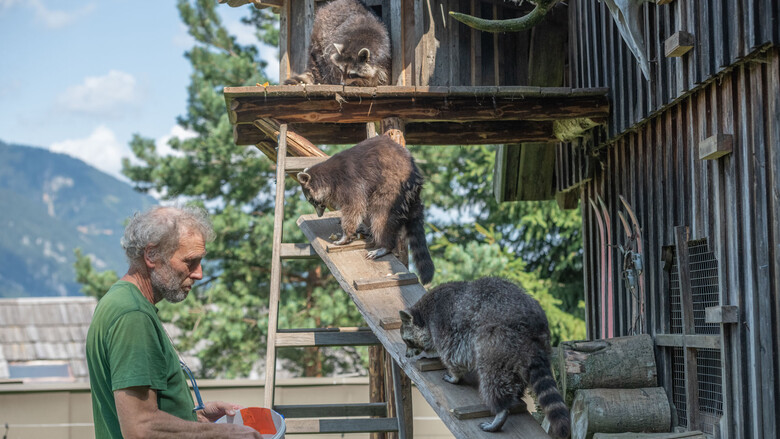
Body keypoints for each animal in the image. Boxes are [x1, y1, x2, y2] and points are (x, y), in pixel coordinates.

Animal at [298, 135, 436, 286]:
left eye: (312, 201)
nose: (319, 214)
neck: (325, 176)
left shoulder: (349, 183)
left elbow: (354, 207)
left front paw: (346, 235)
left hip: (394, 185)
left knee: (381, 213)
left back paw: (385, 245)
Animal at [400, 278, 568, 436]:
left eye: (407, 341)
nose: (406, 354)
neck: (424, 313)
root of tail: (533, 327)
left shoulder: (443, 323)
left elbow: (453, 354)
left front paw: (454, 375)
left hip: (498, 341)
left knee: (492, 375)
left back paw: (500, 412)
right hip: (539, 343)